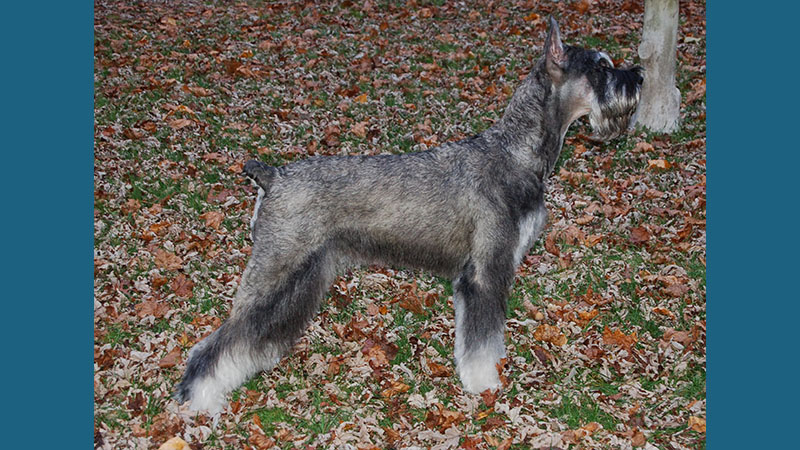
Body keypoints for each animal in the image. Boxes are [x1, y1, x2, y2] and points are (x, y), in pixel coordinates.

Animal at [177, 17, 644, 414]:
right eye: (600, 68)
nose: (638, 75)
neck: (516, 153)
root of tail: (272, 176)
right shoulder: (485, 273)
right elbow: (482, 340)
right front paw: (484, 385)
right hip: (276, 269)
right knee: (216, 341)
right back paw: (197, 399)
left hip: (303, 276)